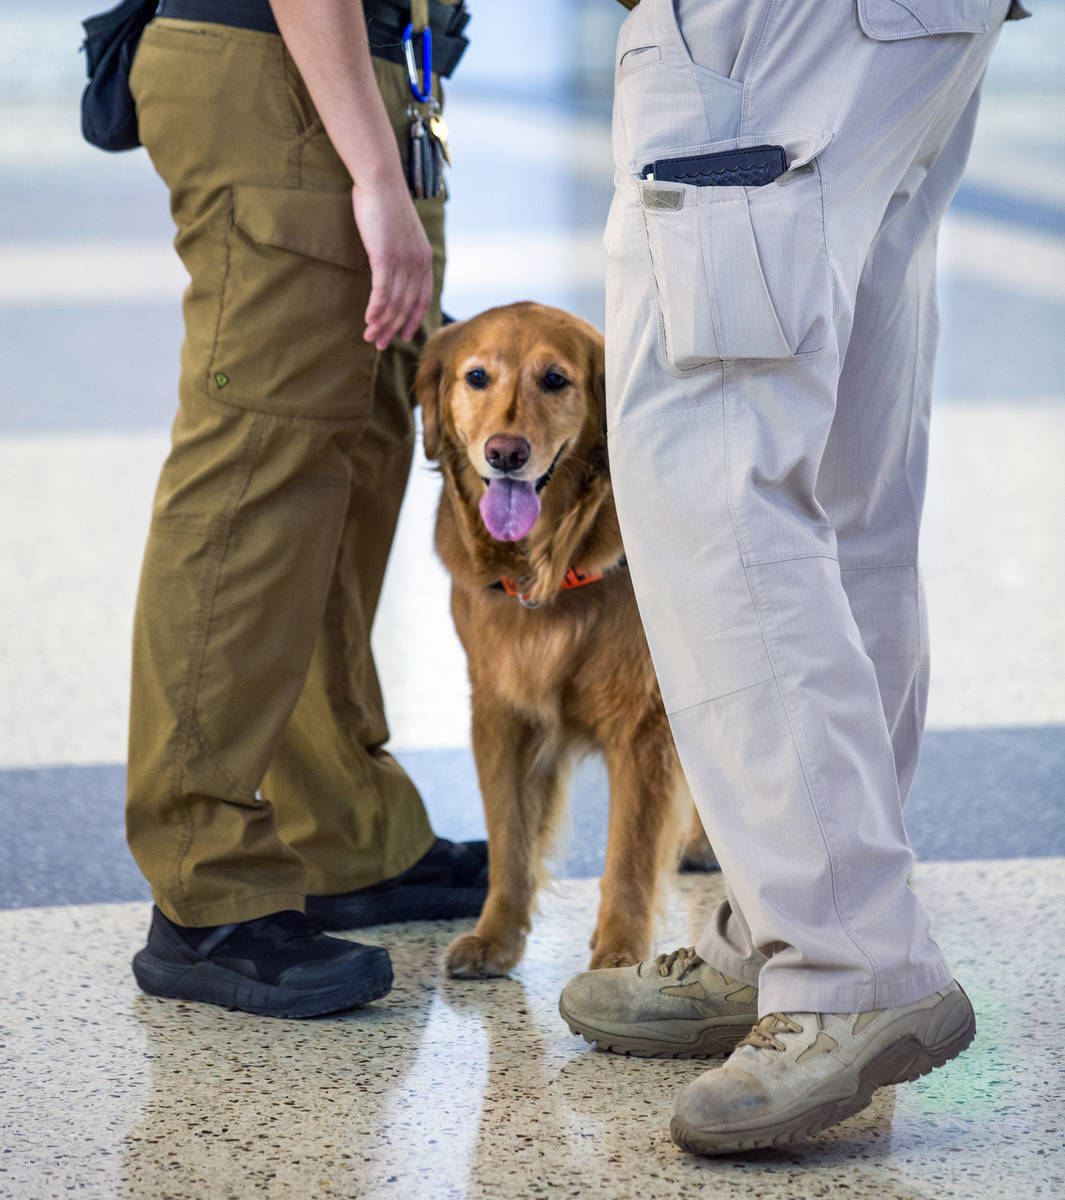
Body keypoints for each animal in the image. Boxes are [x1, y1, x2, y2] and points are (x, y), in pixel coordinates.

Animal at [414, 304, 714, 979]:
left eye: (555, 380)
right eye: (477, 376)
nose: (505, 452)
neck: (551, 568)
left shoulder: (643, 724)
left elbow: (630, 856)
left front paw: (619, 956)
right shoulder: (501, 713)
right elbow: (510, 843)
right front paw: (495, 938)